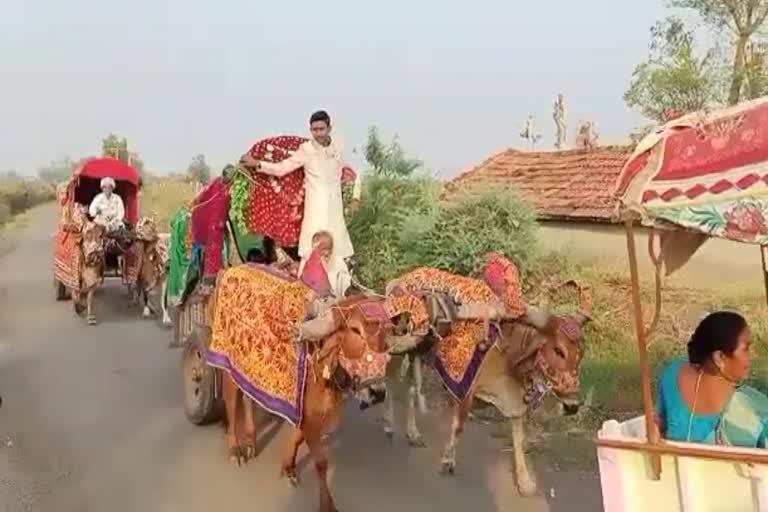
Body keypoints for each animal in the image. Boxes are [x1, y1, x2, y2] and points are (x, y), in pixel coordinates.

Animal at [222, 294, 400, 512]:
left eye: (385, 334)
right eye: (355, 330)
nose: (378, 392)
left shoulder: (306, 414)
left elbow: (297, 438)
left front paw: (288, 466)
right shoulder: (310, 418)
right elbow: (321, 462)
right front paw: (327, 505)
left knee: (248, 397)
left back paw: (250, 440)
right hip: (228, 368)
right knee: (231, 404)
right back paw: (235, 450)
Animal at [380, 284, 592, 496]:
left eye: (580, 352)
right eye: (558, 350)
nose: (573, 405)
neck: (506, 353)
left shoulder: (515, 401)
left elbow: (519, 441)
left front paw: (525, 482)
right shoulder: (465, 392)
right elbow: (458, 427)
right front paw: (448, 460)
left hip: (418, 355)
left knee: (410, 388)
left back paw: (413, 434)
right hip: (398, 349)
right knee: (390, 379)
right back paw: (389, 424)